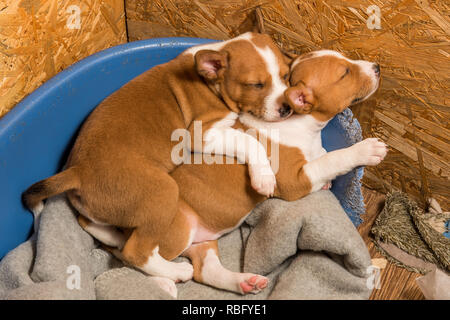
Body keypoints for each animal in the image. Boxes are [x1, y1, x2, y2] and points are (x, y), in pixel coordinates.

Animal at [22, 32, 292, 282]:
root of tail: (77, 171)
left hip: (108, 209)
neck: (210, 83)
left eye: (286, 76)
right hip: (164, 193)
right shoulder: (202, 134)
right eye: (256, 85)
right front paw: (264, 177)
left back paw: (117, 237)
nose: (287, 108)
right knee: (136, 252)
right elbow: (250, 141)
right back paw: (175, 271)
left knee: (89, 223)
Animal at [74, 50, 386, 298]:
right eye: (345, 73)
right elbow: (331, 159)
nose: (377, 67)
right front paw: (367, 150)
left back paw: (243, 282)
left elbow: (321, 156)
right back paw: (165, 282)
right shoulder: (293, 181)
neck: (301, 124)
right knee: (130, 259)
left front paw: (327, 181)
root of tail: (125, 228)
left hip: (202, 241)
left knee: (206, 270)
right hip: (175, 230)